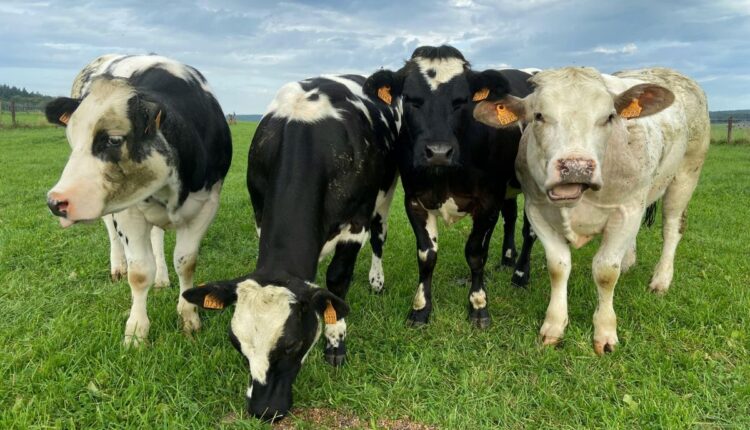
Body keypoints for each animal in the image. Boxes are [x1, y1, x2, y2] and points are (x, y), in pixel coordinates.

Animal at [181, 74, 402, 421]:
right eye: (237, 344)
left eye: (292, 346)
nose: (263, 410)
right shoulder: (260, 214)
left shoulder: (355, 223)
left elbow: (338, 281)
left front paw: (335, 342)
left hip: (386, 193)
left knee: (380, 236)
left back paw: (376, 281)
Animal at [362, 45, 535, 329]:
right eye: (410, 98)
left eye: (461, 100)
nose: (438, 152)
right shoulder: (415, 200)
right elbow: (426, 255)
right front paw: (420, 309)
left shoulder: (488, 201)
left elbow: (476, 253)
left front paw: (478, 306)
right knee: (510, 217)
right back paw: (507, 259)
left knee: (529, 230)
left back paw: (520, 274)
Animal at [472, 67, 709, 354]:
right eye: (539, 115)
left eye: (609, 117)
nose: (576, 167)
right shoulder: (537, 210)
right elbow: (558, 267)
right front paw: (554, 325)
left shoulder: (626, 208)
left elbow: (606, 271)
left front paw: (605, 331)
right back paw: (628, 261)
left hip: (686, 174)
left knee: (672, 228)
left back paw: (661, 280)